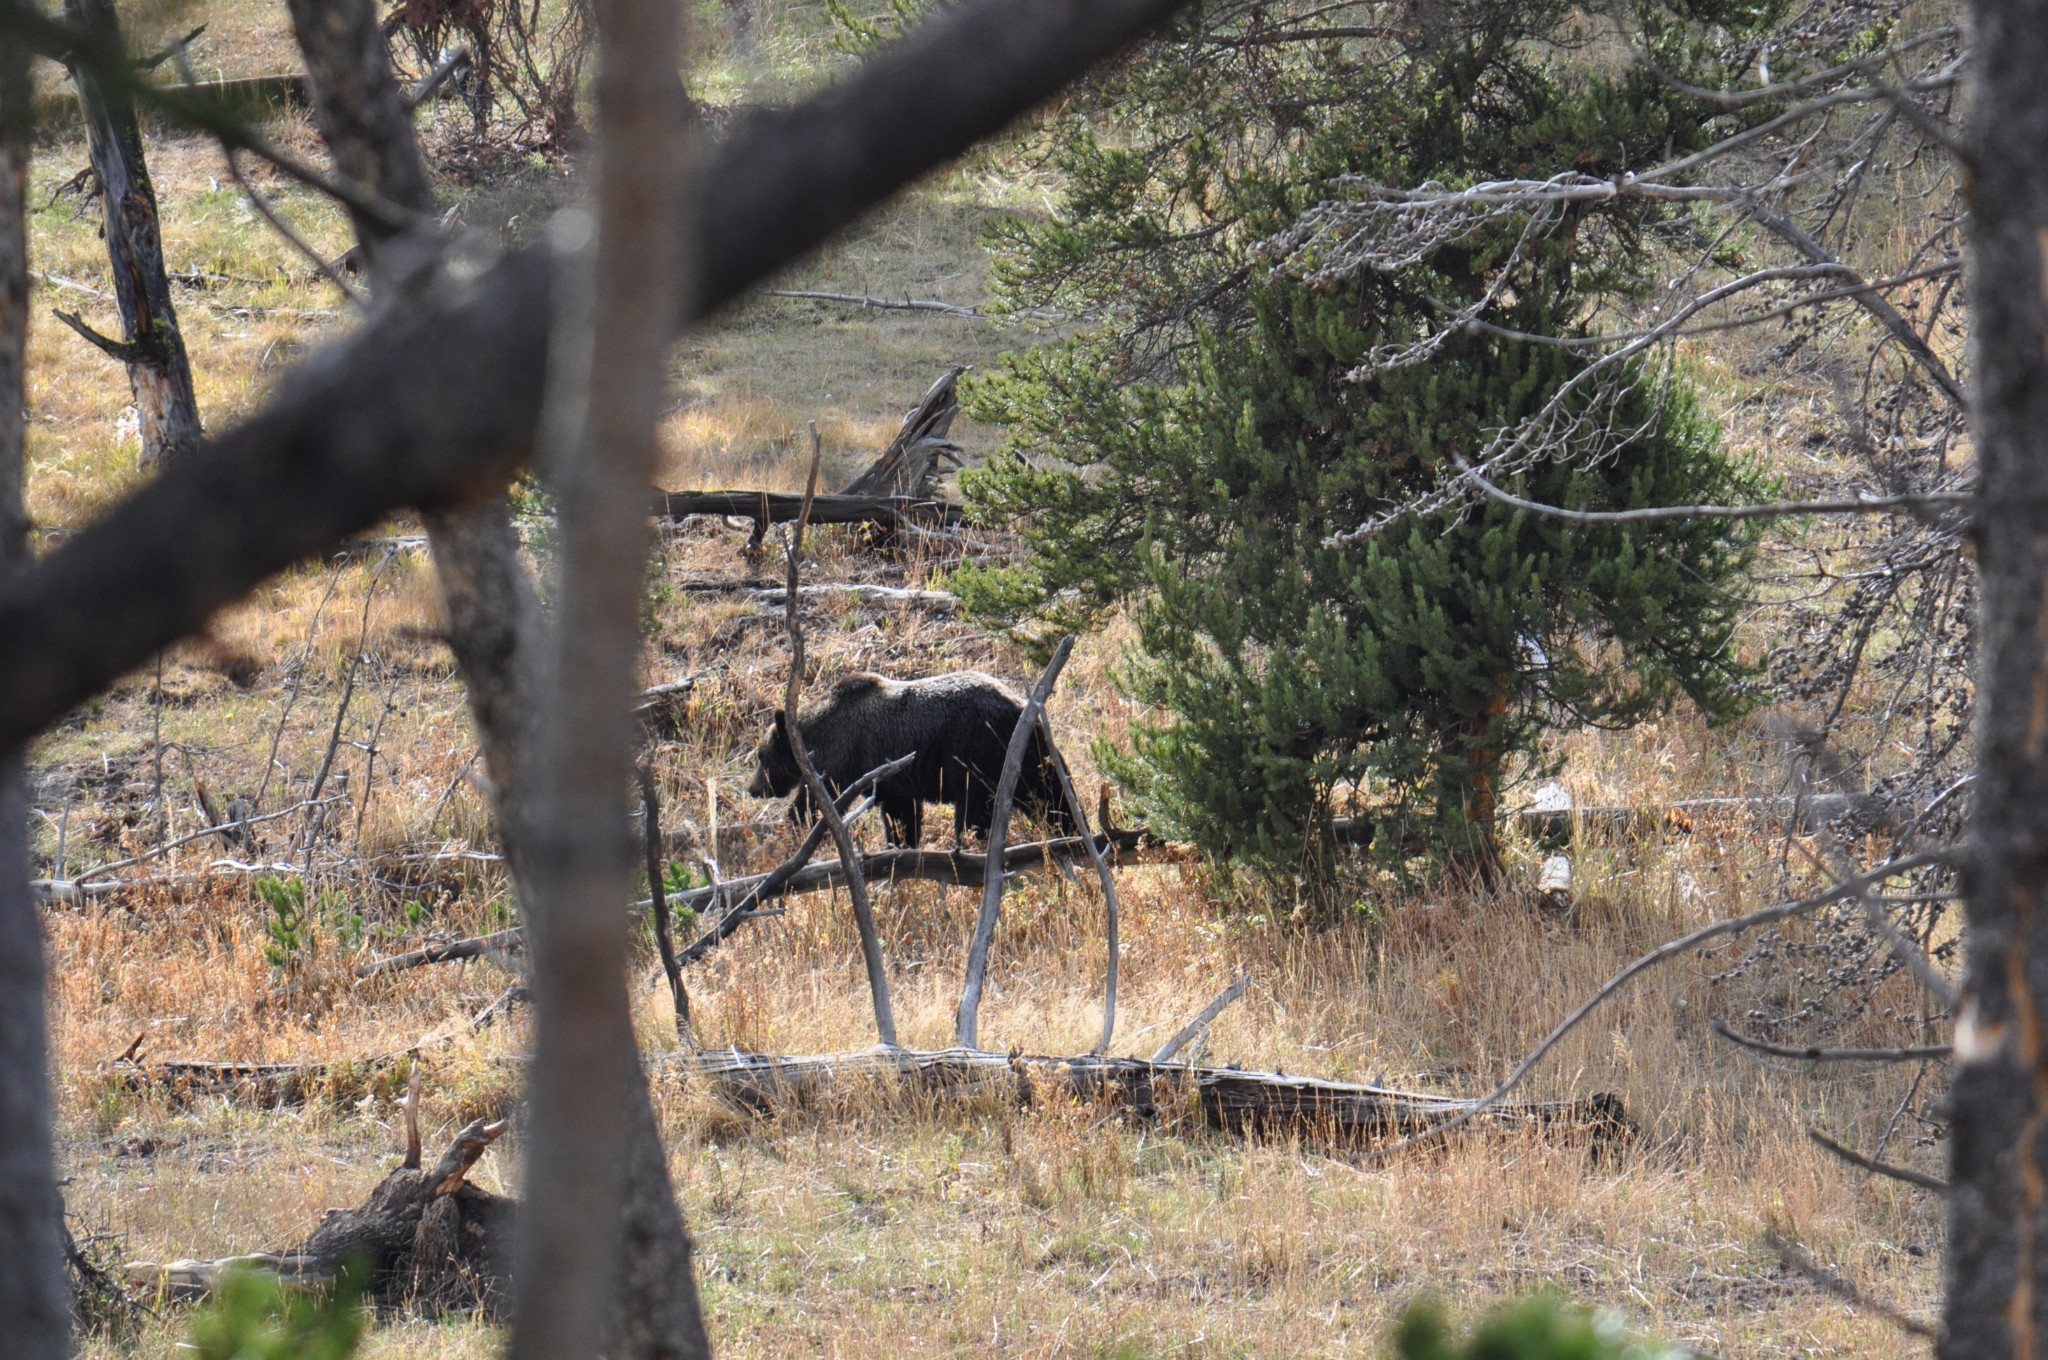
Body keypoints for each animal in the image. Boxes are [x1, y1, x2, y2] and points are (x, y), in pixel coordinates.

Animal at [745, 671, 1081, 852]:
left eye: (761, 756)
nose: (752, 788)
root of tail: (1018, 706)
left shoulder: (845, 762)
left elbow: (815, 802)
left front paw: (792, 828)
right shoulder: (891, 778)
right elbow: (902, 815)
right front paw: (902, 845)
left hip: (975, 752)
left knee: (974, 811)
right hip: (1027, 753)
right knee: (1054, 796)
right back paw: (1075, 833)